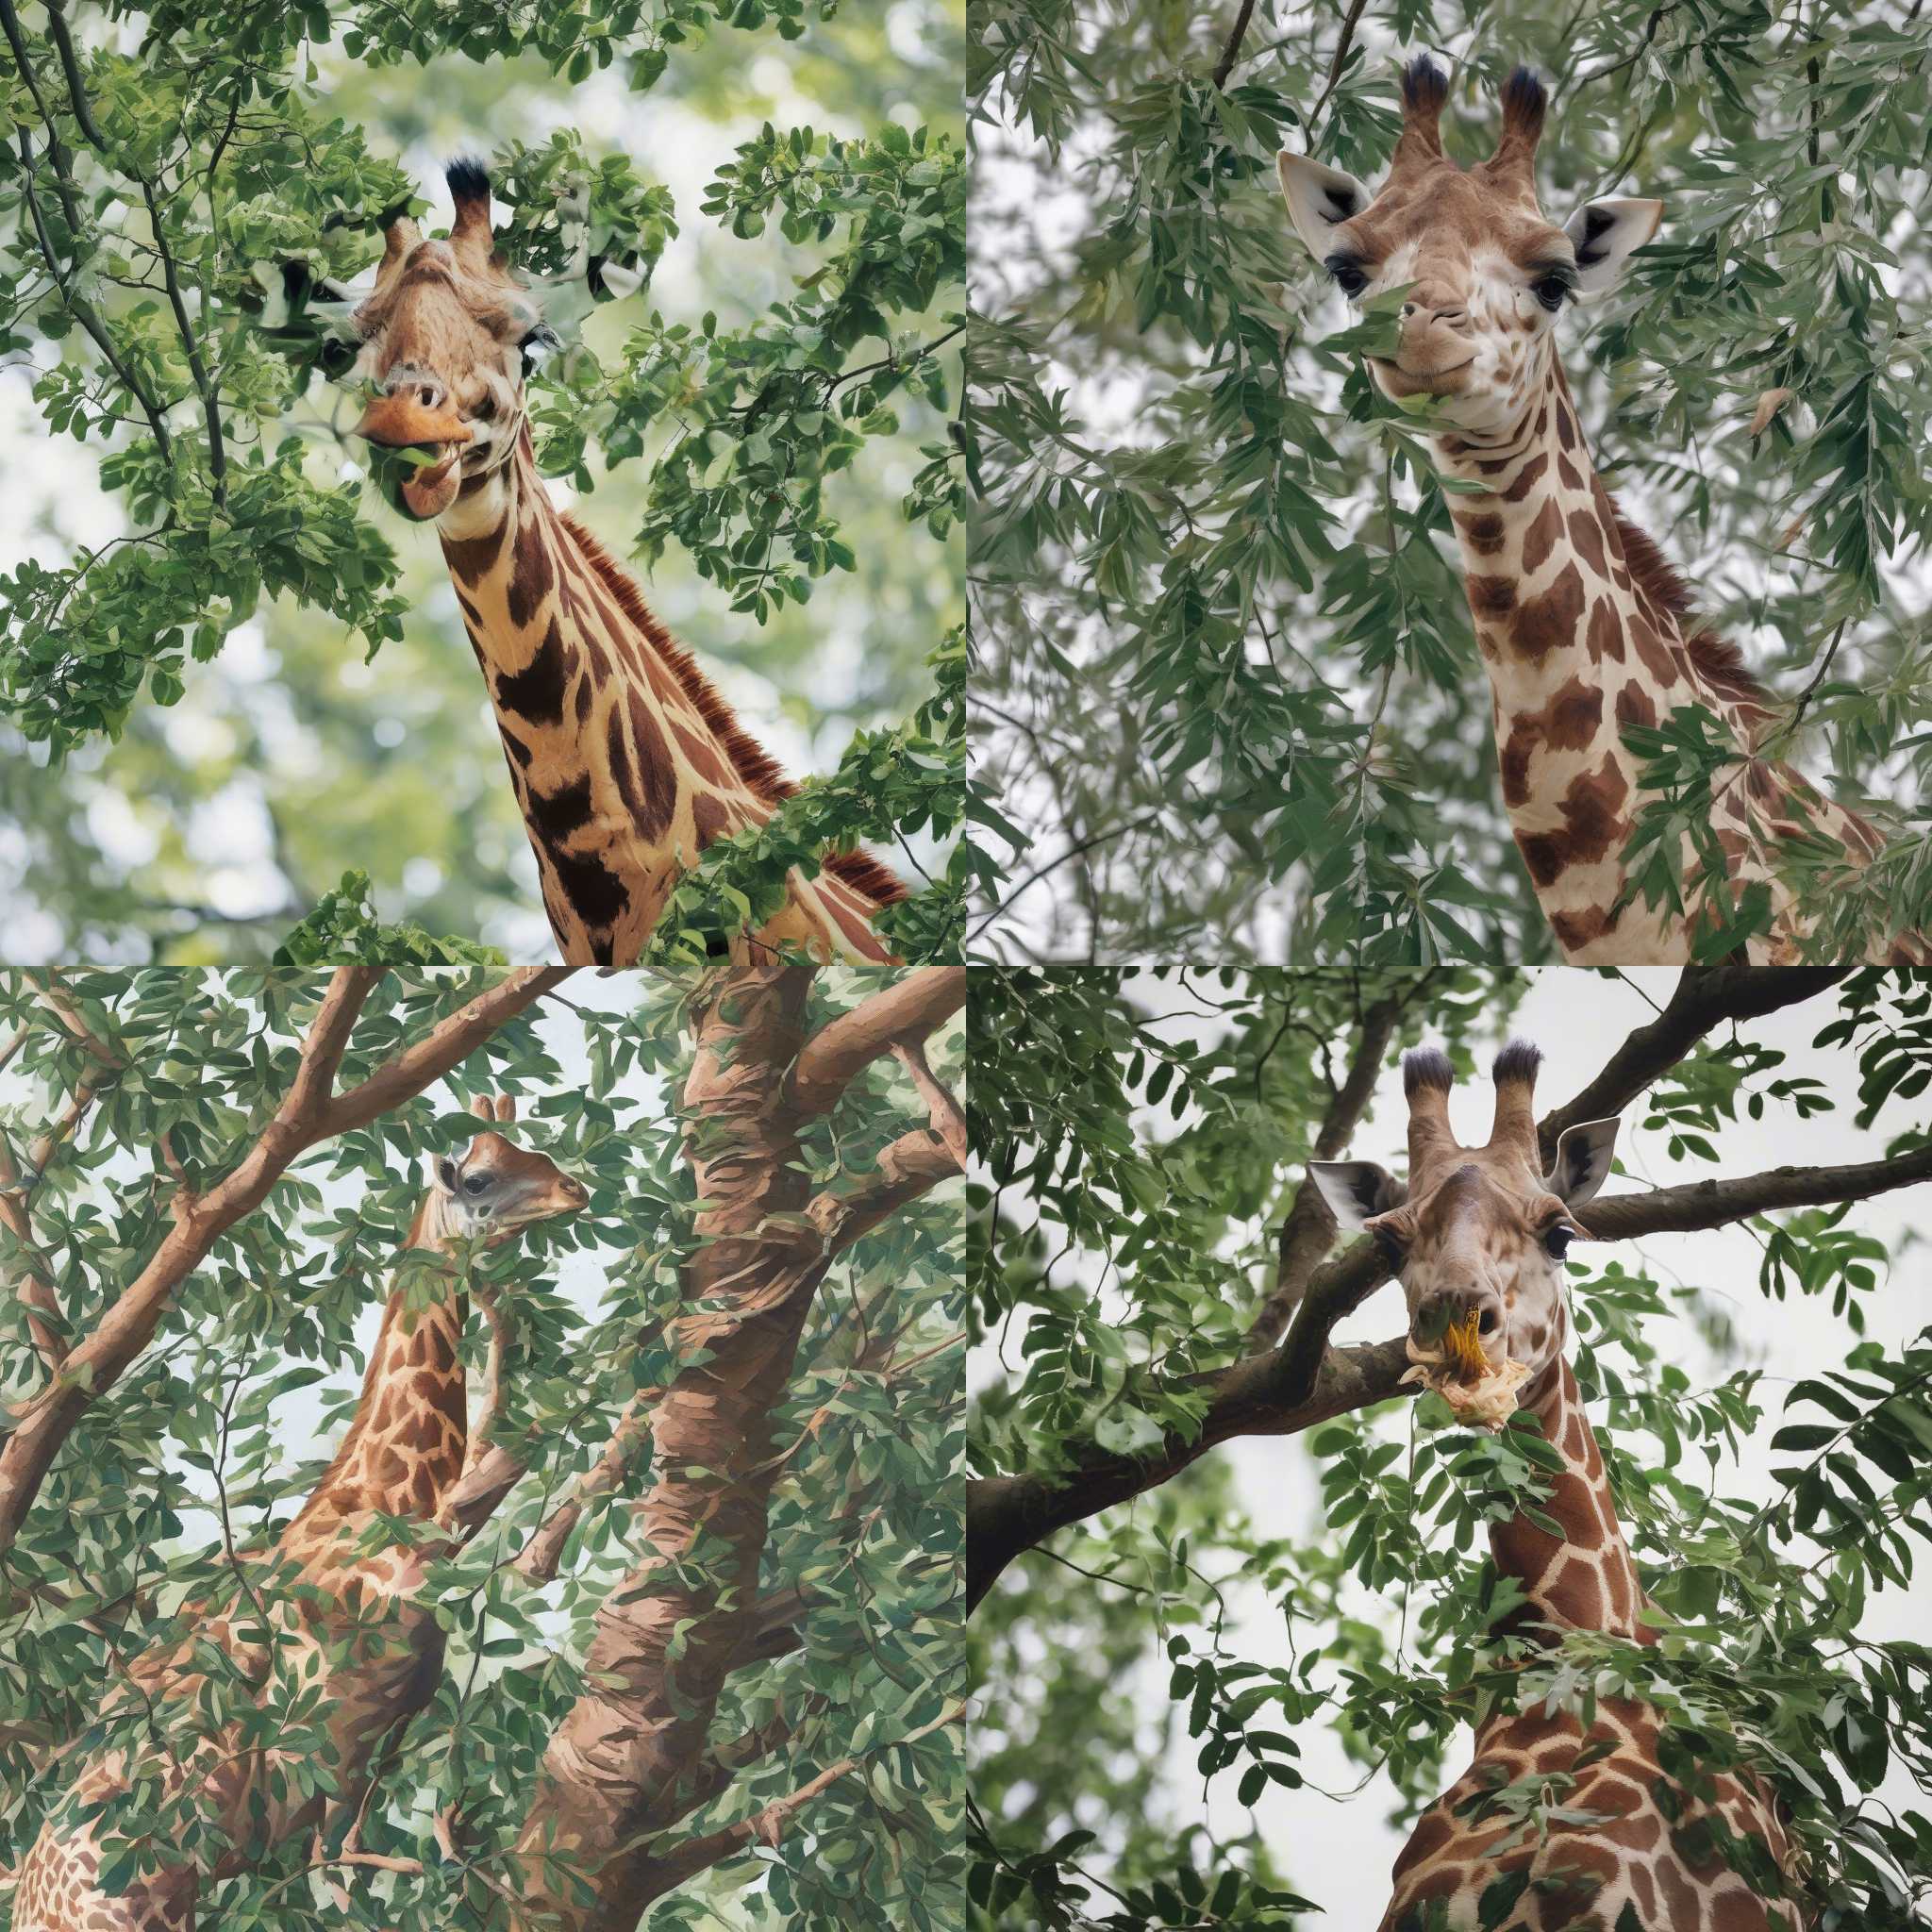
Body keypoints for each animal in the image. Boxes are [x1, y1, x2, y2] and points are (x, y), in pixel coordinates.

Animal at [13, 1097, 587, 1924]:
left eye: (532, 1151)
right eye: (480, 1178)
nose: (575, 1190)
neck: (391, 1504)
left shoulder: (380, 1738)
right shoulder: (332, 1745)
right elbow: (342, 1886)